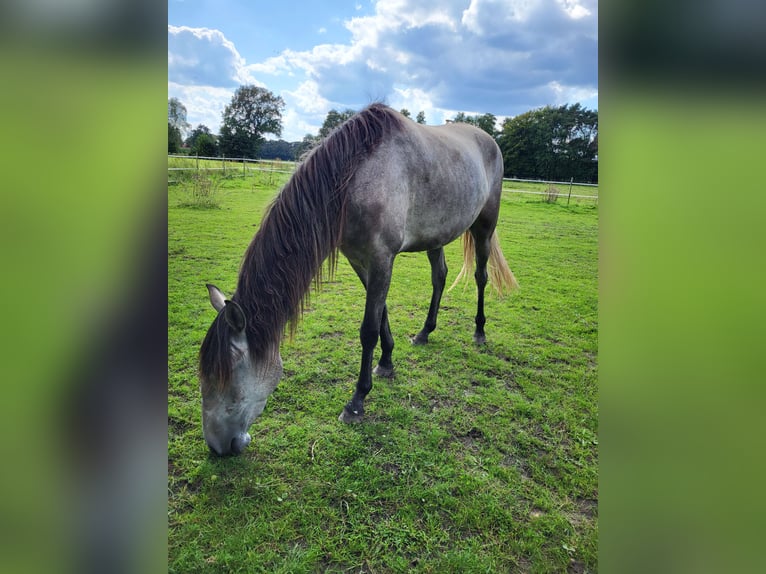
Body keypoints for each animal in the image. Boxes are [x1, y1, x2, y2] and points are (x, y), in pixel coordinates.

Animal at [201, 101, 520, 456]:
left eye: (227, 375)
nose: (217, 446)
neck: (353, 179)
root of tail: (488, 140)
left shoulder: (382, 258)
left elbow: (368, 329)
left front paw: (356, 402)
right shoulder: (360, 259)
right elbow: (382, 315)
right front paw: (387, 363)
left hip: (484, 227)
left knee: (480, 276)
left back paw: (479, 331)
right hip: (436, 236)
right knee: (439, 277)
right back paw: (424, 333)